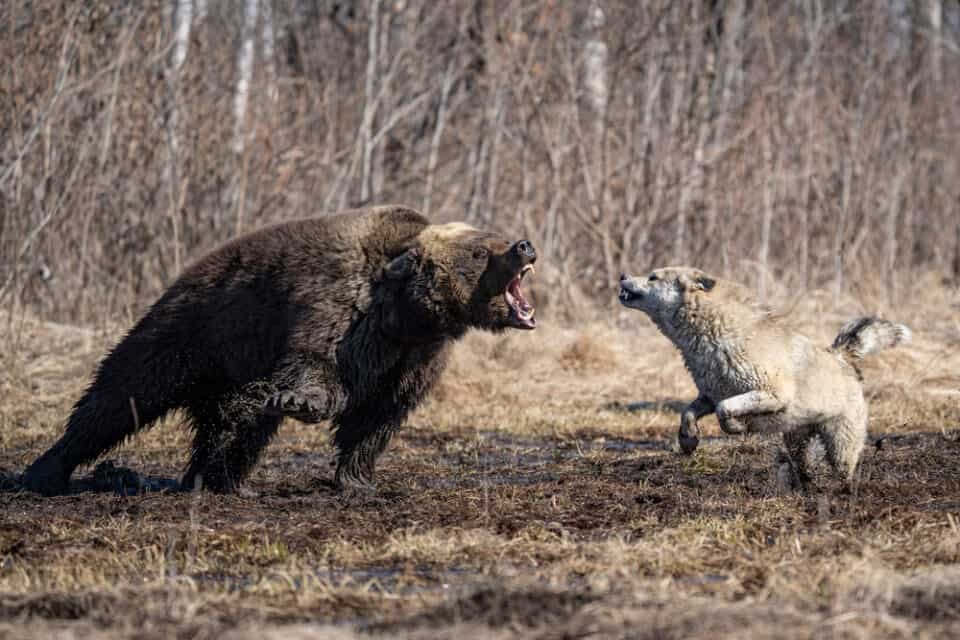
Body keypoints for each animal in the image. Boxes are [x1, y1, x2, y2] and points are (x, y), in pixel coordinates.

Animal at [22, 205, 536, 496]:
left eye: (495, 237)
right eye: (479, 252)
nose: (523, 246)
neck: (408, 314)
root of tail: (184, 275)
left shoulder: (416, 356)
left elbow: (378, 415)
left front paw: (359, 480)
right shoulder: (339, 308)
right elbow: (316, 365)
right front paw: (301, 402)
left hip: (233, 365)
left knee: (236, 423)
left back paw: (217, 479)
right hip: (192, 331)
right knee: (121, 395)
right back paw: (47, 470)